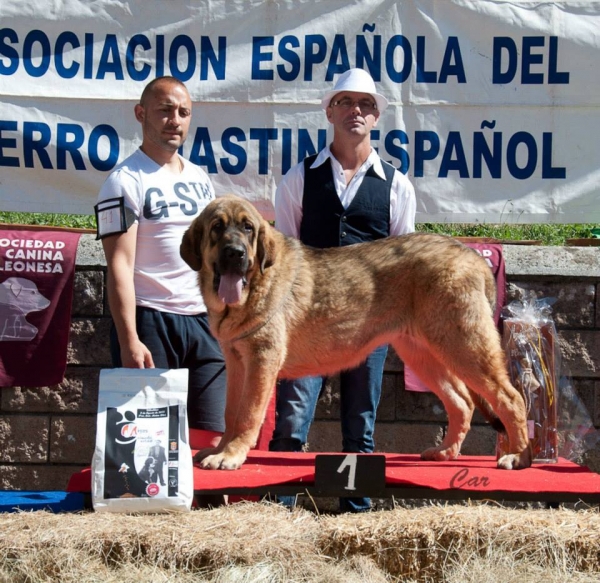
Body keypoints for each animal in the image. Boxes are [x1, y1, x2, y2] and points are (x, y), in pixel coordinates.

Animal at [179, 194, 528, 472]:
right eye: (217, 227)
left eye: (248, 228)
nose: (235, 253)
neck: (250, 290)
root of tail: (473, 256)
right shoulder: (237, 362)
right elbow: (230, 412)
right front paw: (221, 448)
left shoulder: (261, 361)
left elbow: (247, 414)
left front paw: (232, 455)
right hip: (424, 354)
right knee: (462, 402)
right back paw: (445, 452)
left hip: (465, 346)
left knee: (511, 398)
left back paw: (518, 457)